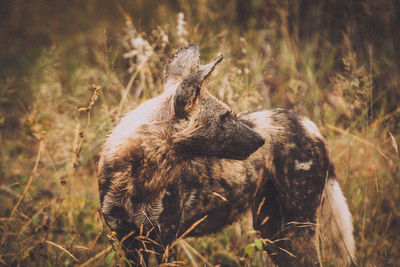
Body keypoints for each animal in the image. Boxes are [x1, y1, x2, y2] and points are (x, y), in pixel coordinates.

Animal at [98, 45, 354, 266]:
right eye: (225, 117)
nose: (261, 140)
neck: (139, 177)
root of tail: (307, 123)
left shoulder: (163, 242)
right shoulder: (128, 241)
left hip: (297, 226)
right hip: (273, 233)